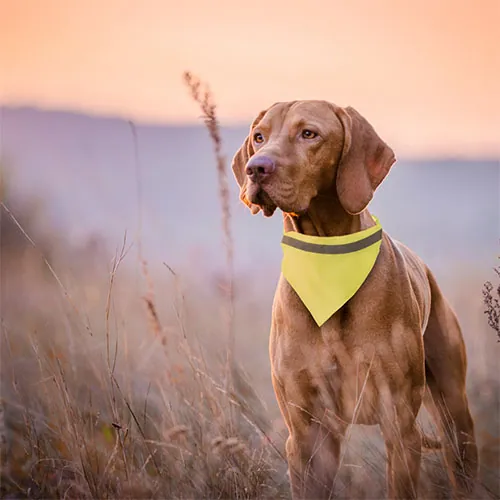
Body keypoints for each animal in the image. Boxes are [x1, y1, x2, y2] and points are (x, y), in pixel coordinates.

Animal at [232, 99, 478, 498]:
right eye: (259, 136)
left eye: (309, 133)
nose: (256, 168)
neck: (327, 262)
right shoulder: (307, 433)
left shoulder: (399, 423)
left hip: (454, 413)